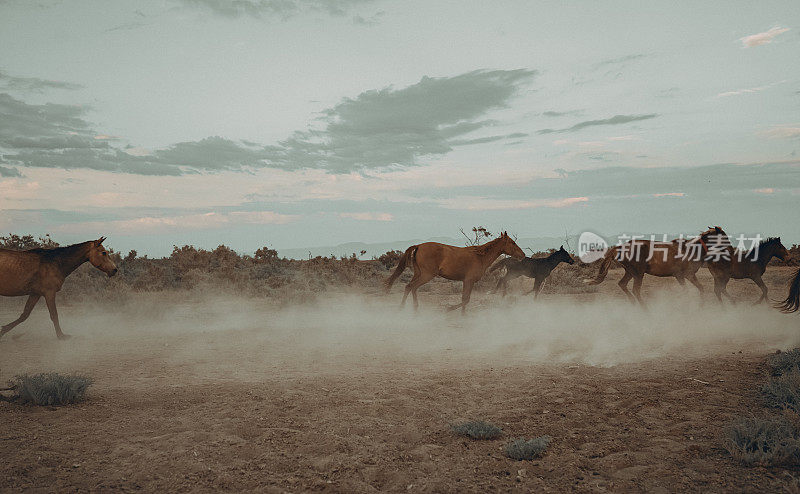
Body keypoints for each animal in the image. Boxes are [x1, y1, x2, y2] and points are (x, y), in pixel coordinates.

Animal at [386, 232, 528, 312]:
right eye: (513, 242)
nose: (523, 255)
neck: (480, 256)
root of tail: (419, 246)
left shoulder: (467, 281)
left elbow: (466, 299)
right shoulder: (468, 280)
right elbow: (465, 299)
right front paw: (450, 309)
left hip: (419, 274)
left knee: (409, 287)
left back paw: (412, 309)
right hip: (427, 275)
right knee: (412, 287)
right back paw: (405, 309)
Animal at [580, 228, 720, 304]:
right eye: (720, 234)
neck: (691, 249)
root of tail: (619, 248)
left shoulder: (686, 276)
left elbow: (698, 288)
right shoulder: (683, 275)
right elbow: (690, 290)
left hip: (630, 272)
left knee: (622, 284)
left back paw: (634, 304)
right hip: (638, 273)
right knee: (635, 290)